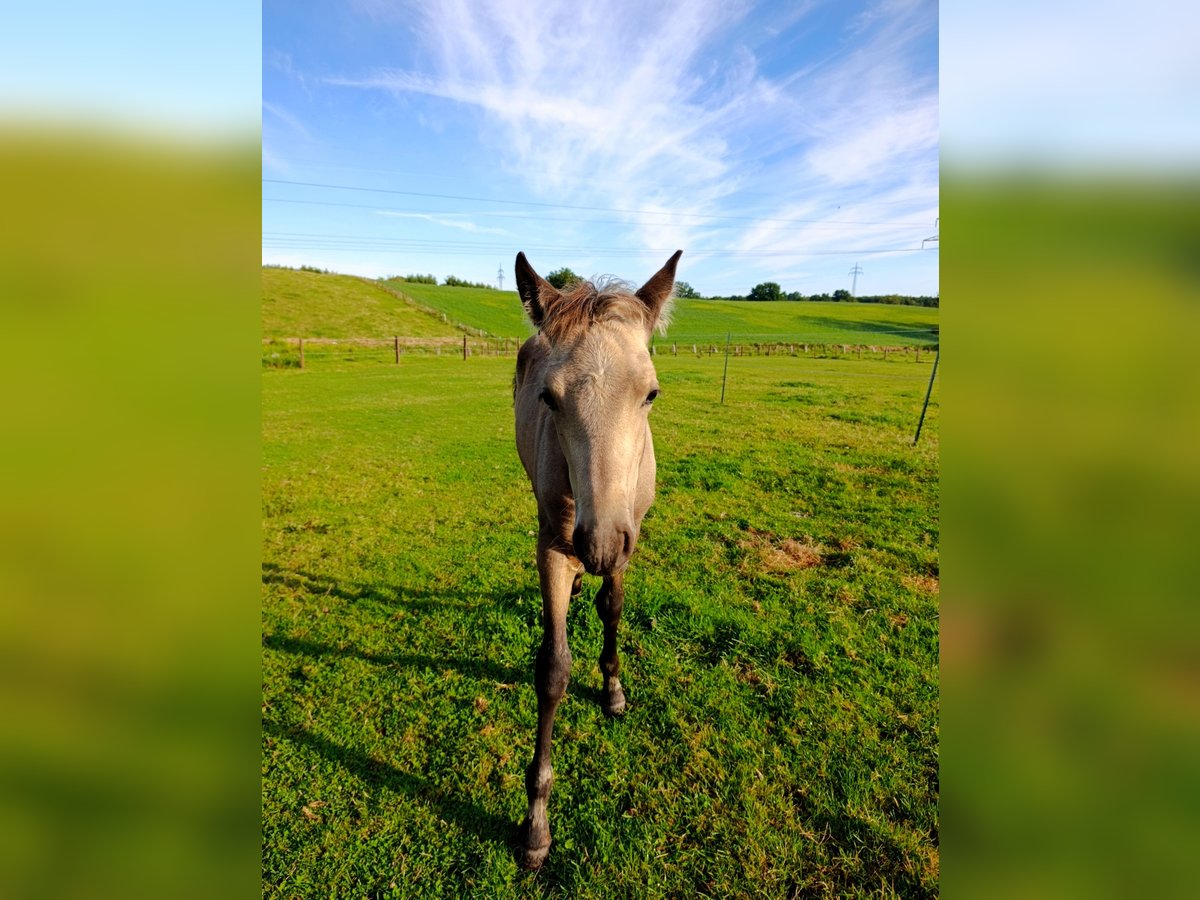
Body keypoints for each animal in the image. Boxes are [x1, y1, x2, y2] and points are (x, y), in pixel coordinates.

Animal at [512, 250, 682, 870]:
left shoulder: (630, 540)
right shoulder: (553, 549)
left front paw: (612, 690)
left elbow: (613, 610)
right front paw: (536, 826)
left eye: (651, 393)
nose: (599, 542)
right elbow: (553, 669)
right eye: (549, 397)